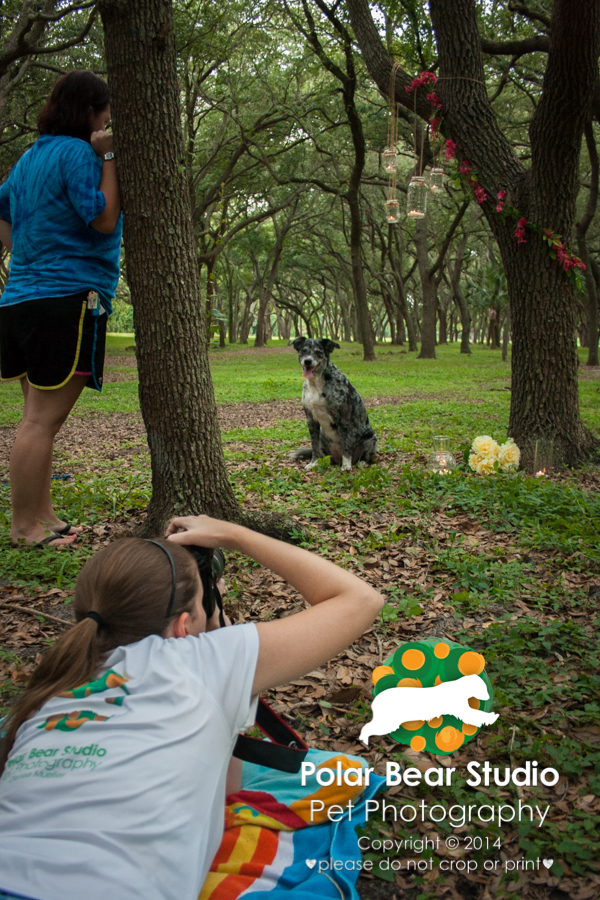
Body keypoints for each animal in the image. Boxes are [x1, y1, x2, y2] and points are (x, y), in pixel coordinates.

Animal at [290, 336, 378, 472]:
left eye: (318, 352)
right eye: (303, 351)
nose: (307, 361)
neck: (316, 384)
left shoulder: (343, 419)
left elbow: (346, 446)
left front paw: (346, 465)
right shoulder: (311, 420)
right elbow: (314, 446)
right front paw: (313, 463)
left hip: (370, 438)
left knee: (366, 457)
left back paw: (362, 462)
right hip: (323, 437)